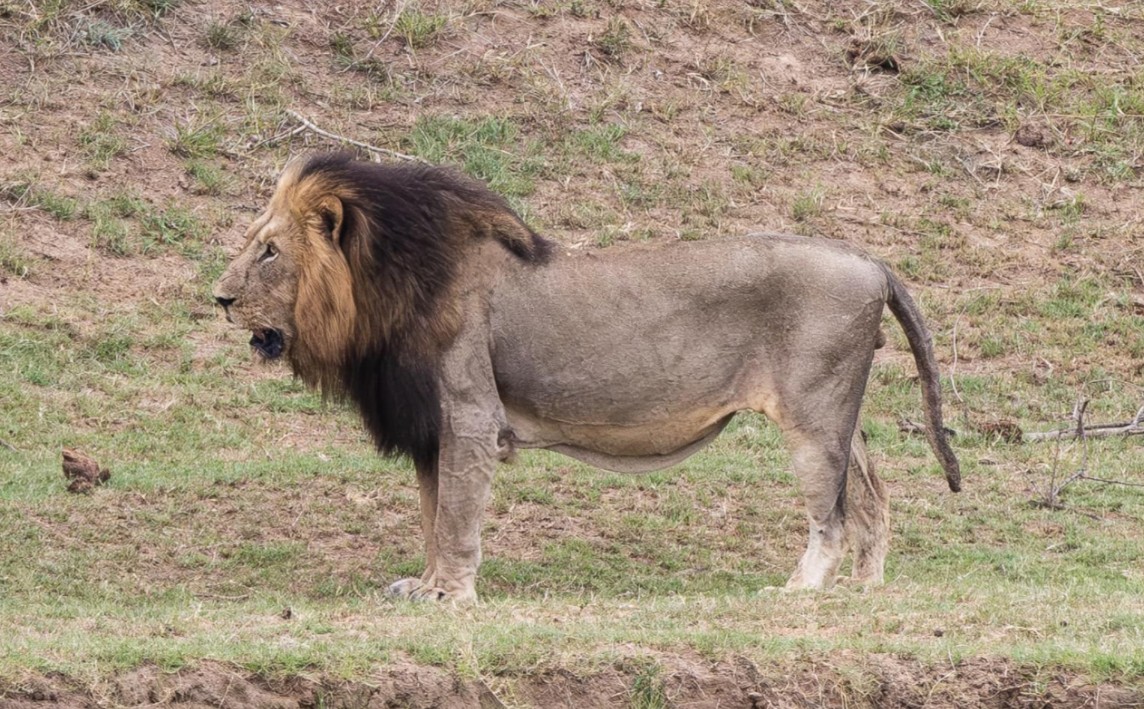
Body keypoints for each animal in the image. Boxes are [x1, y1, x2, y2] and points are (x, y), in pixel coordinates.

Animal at [212, 152, 956, 599]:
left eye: (269, 252)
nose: (219, 298)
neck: (383, 291)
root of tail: (870, 258)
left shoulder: (469, 414)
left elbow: (454, 515)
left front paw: (450, 595)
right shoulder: (431, 428)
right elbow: (431, 512)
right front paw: (424, 586)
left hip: (813, 419)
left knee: (831, 513)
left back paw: (801, 589)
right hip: (841, 416)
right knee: (874, 496)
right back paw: (865, 591)